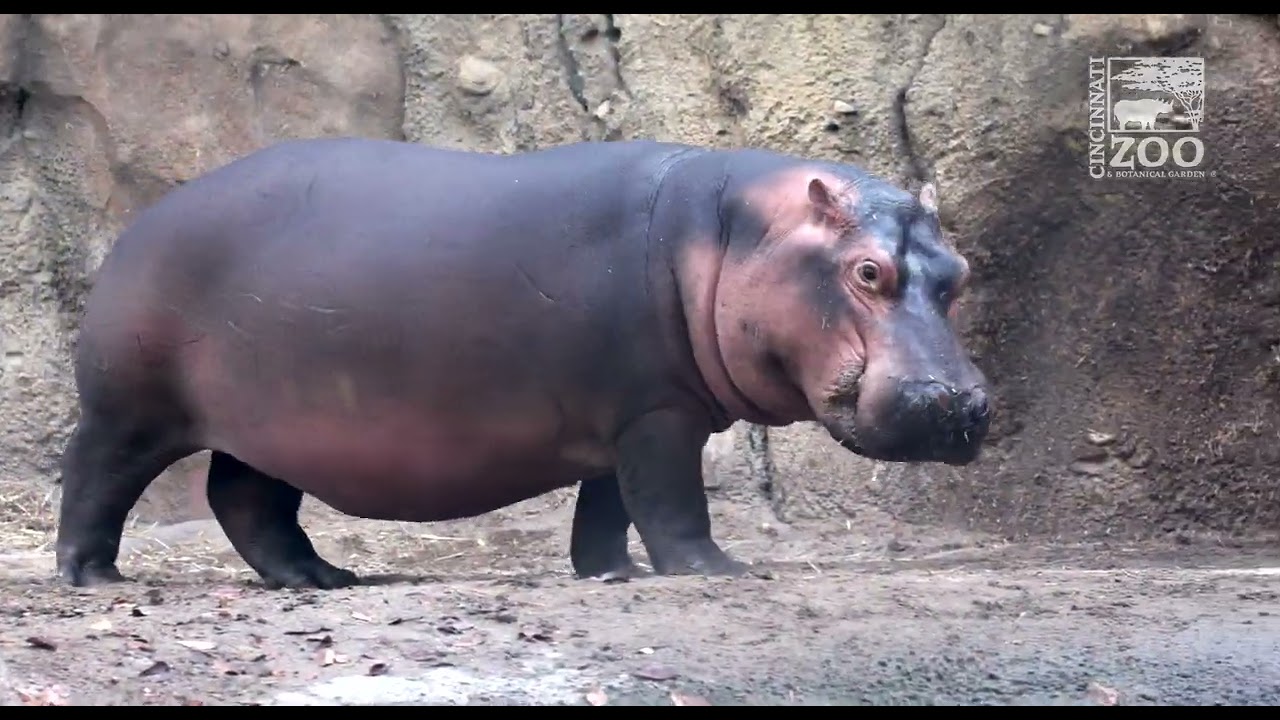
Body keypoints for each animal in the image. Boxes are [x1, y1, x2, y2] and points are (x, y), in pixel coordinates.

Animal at [54, 138, 992, 590]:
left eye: (959, 272)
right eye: (867, 271)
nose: (958, 404)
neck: (731, 232)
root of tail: (144, 220)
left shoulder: (627, 419)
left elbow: (608, 508)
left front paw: (609, 573)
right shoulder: (658, 415)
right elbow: (672, 503)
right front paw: (719, 570)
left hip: (268, 423)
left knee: (247, 498)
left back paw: (321, 579)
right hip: (132, 406)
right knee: (96, 473)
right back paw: (94, 577)